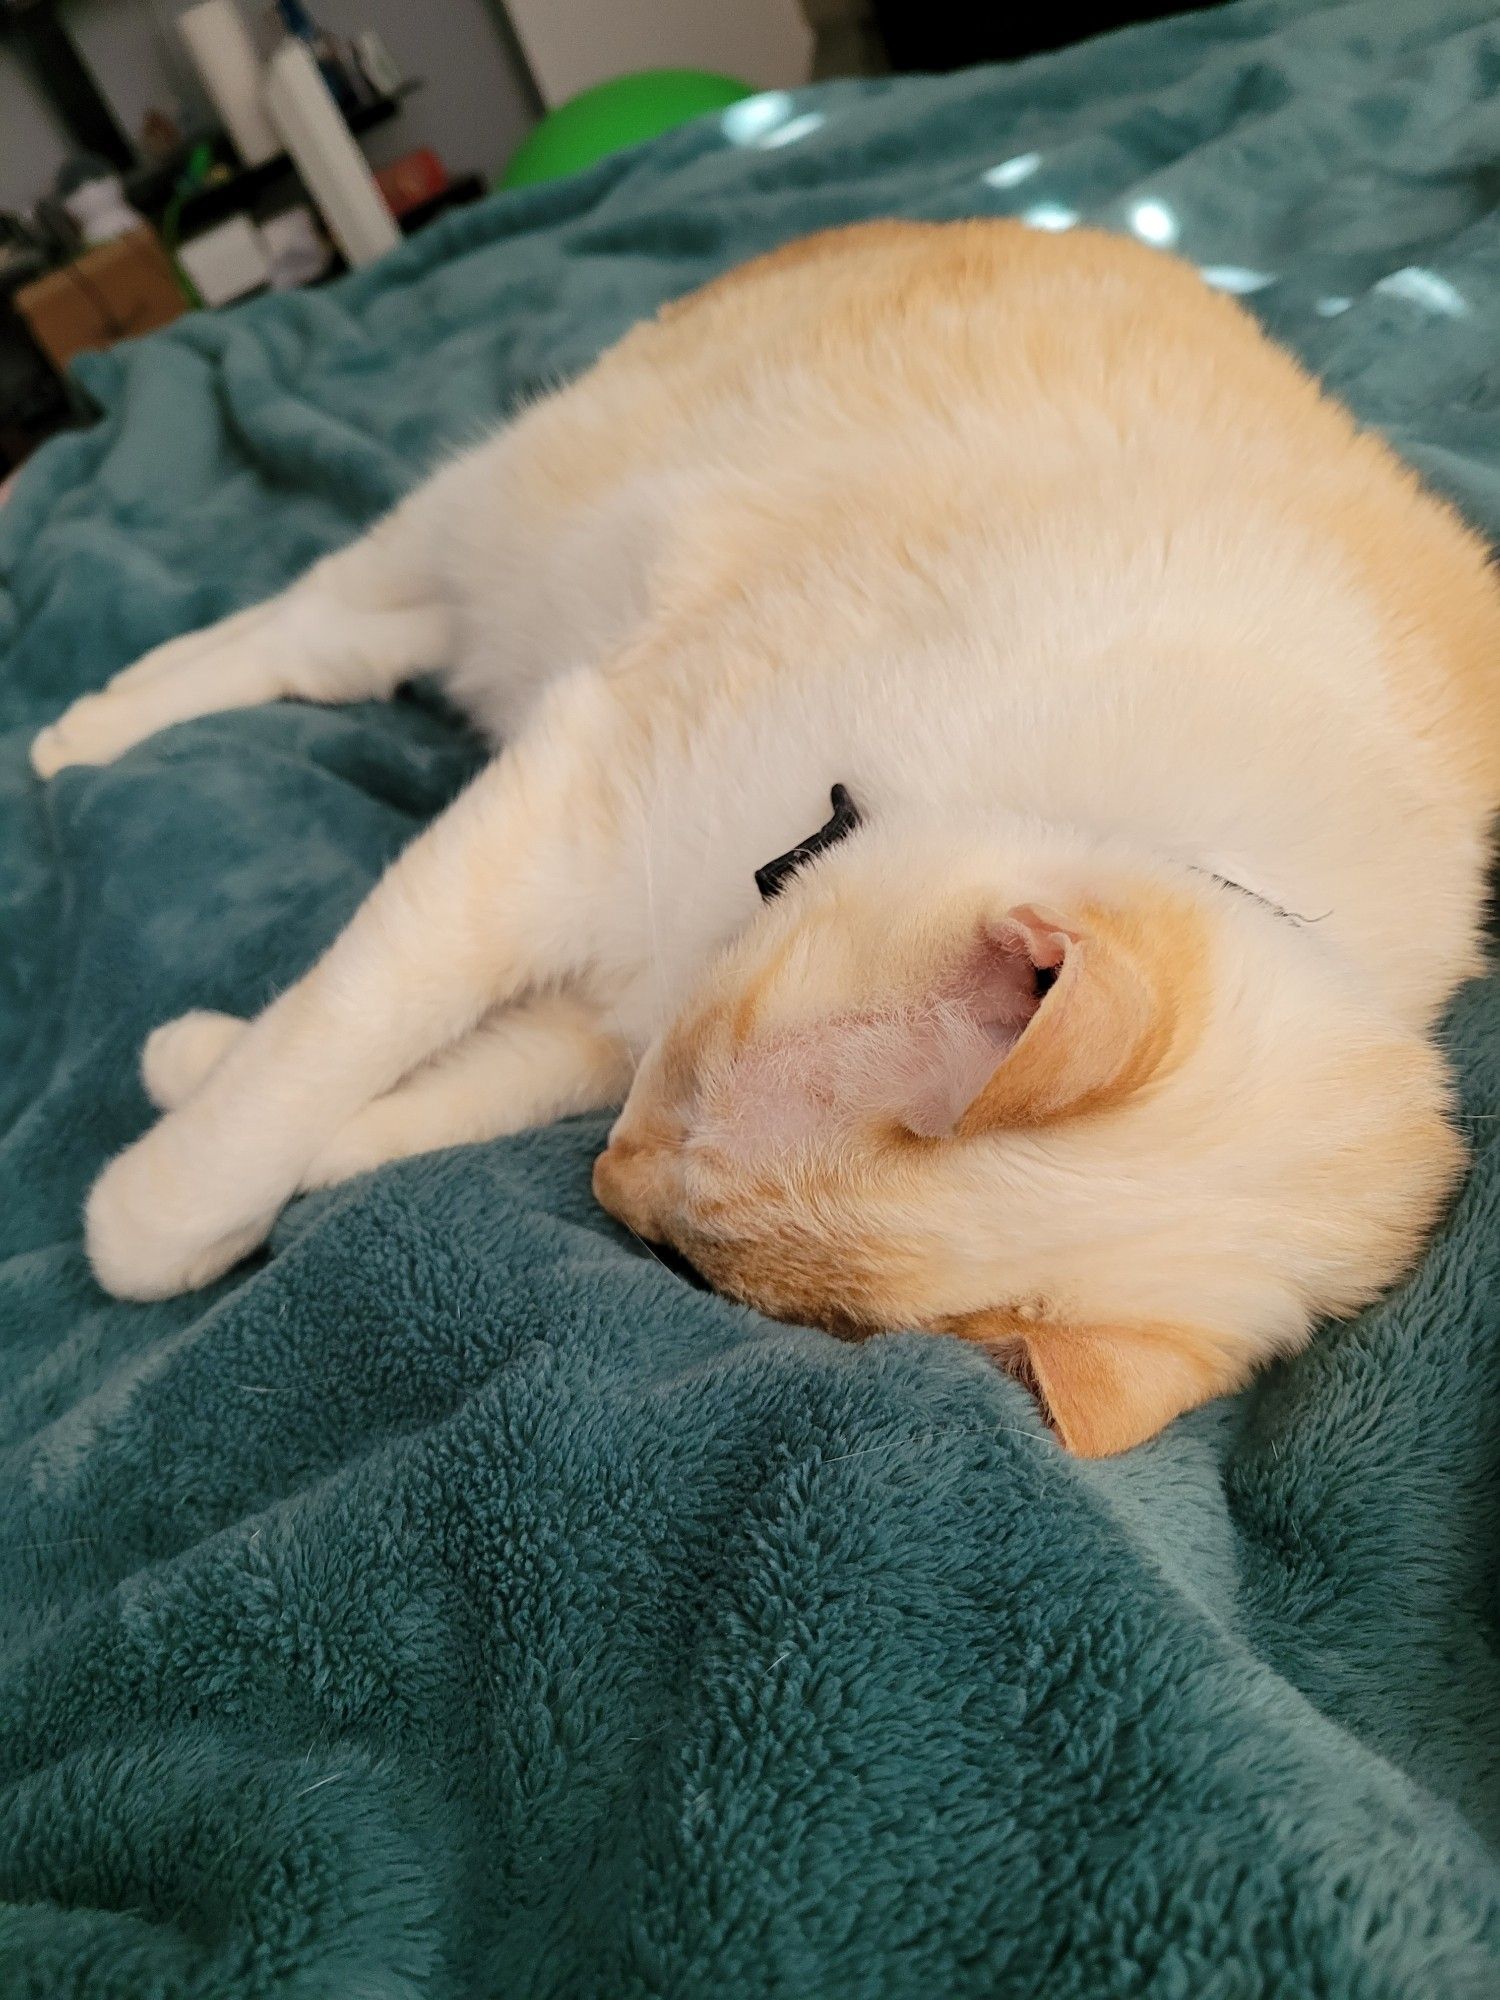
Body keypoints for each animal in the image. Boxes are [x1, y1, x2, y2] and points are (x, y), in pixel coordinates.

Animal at [38, 223, 1500, 1456]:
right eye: (690, 1089)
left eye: (689, 1268)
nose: (607, 1179)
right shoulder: (567, 811)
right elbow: (329, 1039)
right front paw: (150, 1220)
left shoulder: (604, 1002)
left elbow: (422, 1092)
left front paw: (223, 1095)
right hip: (506, 508)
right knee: (308, 623)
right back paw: (79, 732)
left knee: (361, 650)